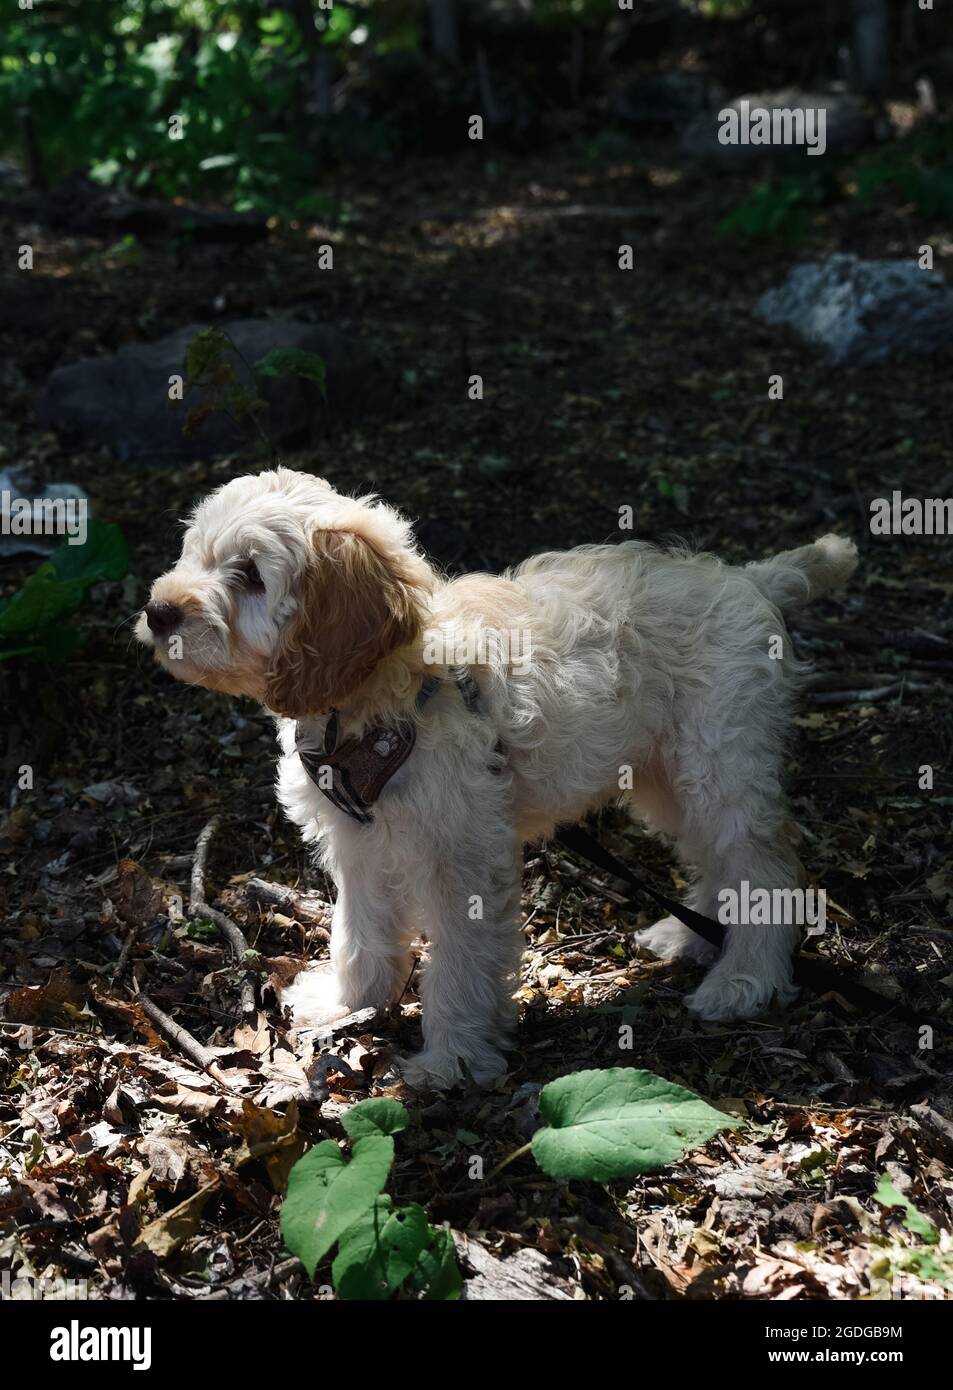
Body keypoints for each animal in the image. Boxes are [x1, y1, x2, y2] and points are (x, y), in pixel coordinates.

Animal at [134, 467, 861, 1084]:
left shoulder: (462, 859)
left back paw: (744, 979)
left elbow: (458, 964)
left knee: (765, 868)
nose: (158, 610)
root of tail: (749, 579)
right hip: (668, 775)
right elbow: (360, 929)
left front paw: (451, 1058)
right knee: (715, 857)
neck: (392, 688)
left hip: (719, 762)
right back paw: (689, 933)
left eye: (251, 575)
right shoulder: (360, 841)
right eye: (194, 554)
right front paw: (349, 1001)